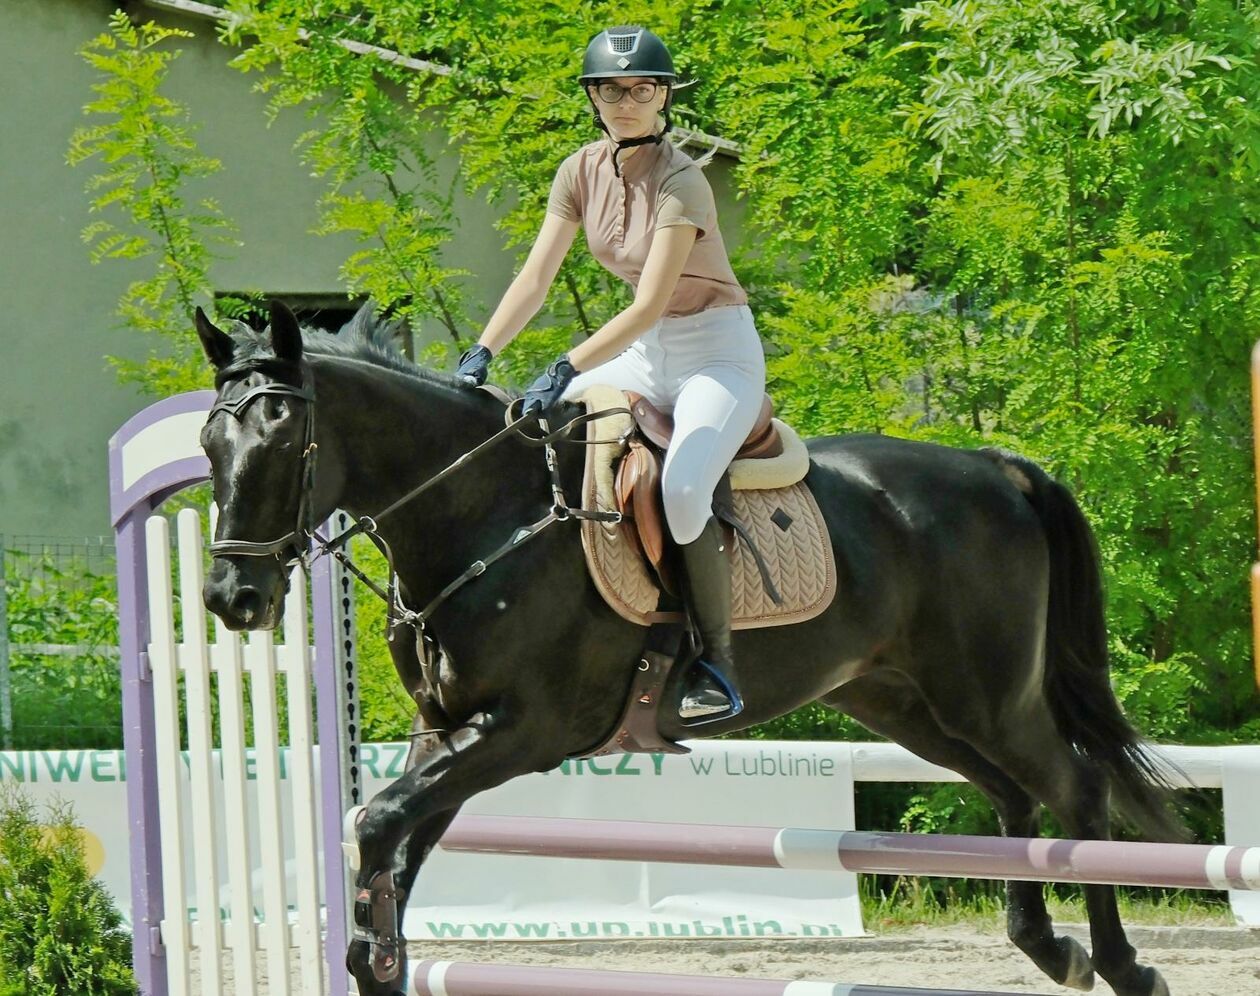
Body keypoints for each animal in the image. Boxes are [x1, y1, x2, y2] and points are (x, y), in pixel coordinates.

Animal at [194, 303, 1179, 996]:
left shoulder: (528, 730)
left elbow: (379, 821)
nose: (231, 600)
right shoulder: (445, 731)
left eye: (281, 437)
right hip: (905, 702)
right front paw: (375, 955)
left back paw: (1121, 965)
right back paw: (1050, 949)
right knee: (1015, 795)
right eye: (209, 441)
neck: (481, 512)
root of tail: (995, 468)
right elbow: (394, 835)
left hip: (988, 695)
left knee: (1075, 788)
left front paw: (375, 952)